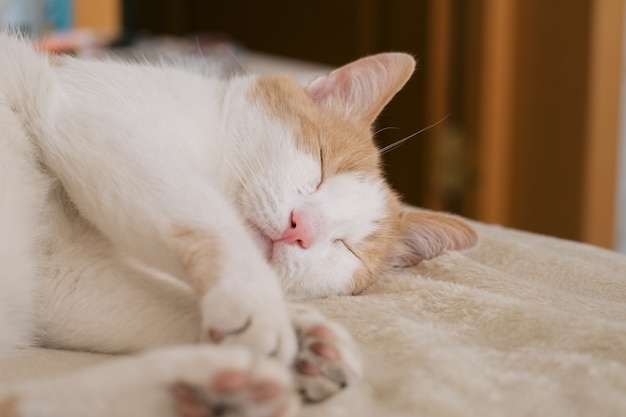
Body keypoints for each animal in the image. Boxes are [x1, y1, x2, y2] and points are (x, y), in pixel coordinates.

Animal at [0, 35, 472, 416]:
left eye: (345, 245)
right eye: (321, 164)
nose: (301, 227)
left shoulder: (65, 277)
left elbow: (153, 301)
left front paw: (301, 338)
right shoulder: (99, 125)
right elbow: (206, 221)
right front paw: (260, 305)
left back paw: (206, 391)